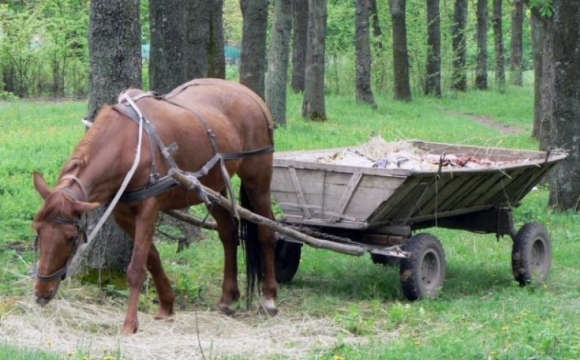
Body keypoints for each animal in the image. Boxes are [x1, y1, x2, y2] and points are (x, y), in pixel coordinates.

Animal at [31, 79, 278, 334]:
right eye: (37, 230)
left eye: (71, 237)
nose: (41, 292)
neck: (128, 145)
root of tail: (249, 94)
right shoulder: (123, 215)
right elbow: (153, 259)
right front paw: (167, 305)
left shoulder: (149, 209)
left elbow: (136, 268)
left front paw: (130, 323)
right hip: (216, 186)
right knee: (228, 233)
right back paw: (227, 297)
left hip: (257, 177)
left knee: (266, 230)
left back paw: (268, 297)